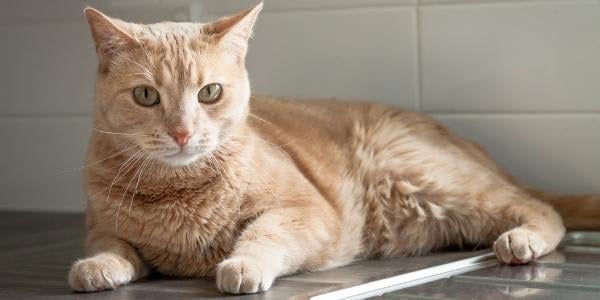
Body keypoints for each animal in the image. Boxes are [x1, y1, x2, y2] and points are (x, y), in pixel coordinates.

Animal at [70, 1, 600, 292]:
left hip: (431, 181)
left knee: (542, 209)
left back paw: (522, 239)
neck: (177, 191)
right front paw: (97, 268)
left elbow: (262, 235)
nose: (182, 132)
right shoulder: (102, 226)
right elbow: (111, 247)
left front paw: (242, 263)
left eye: (209, 93)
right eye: (146, 96)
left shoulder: (307, 212)